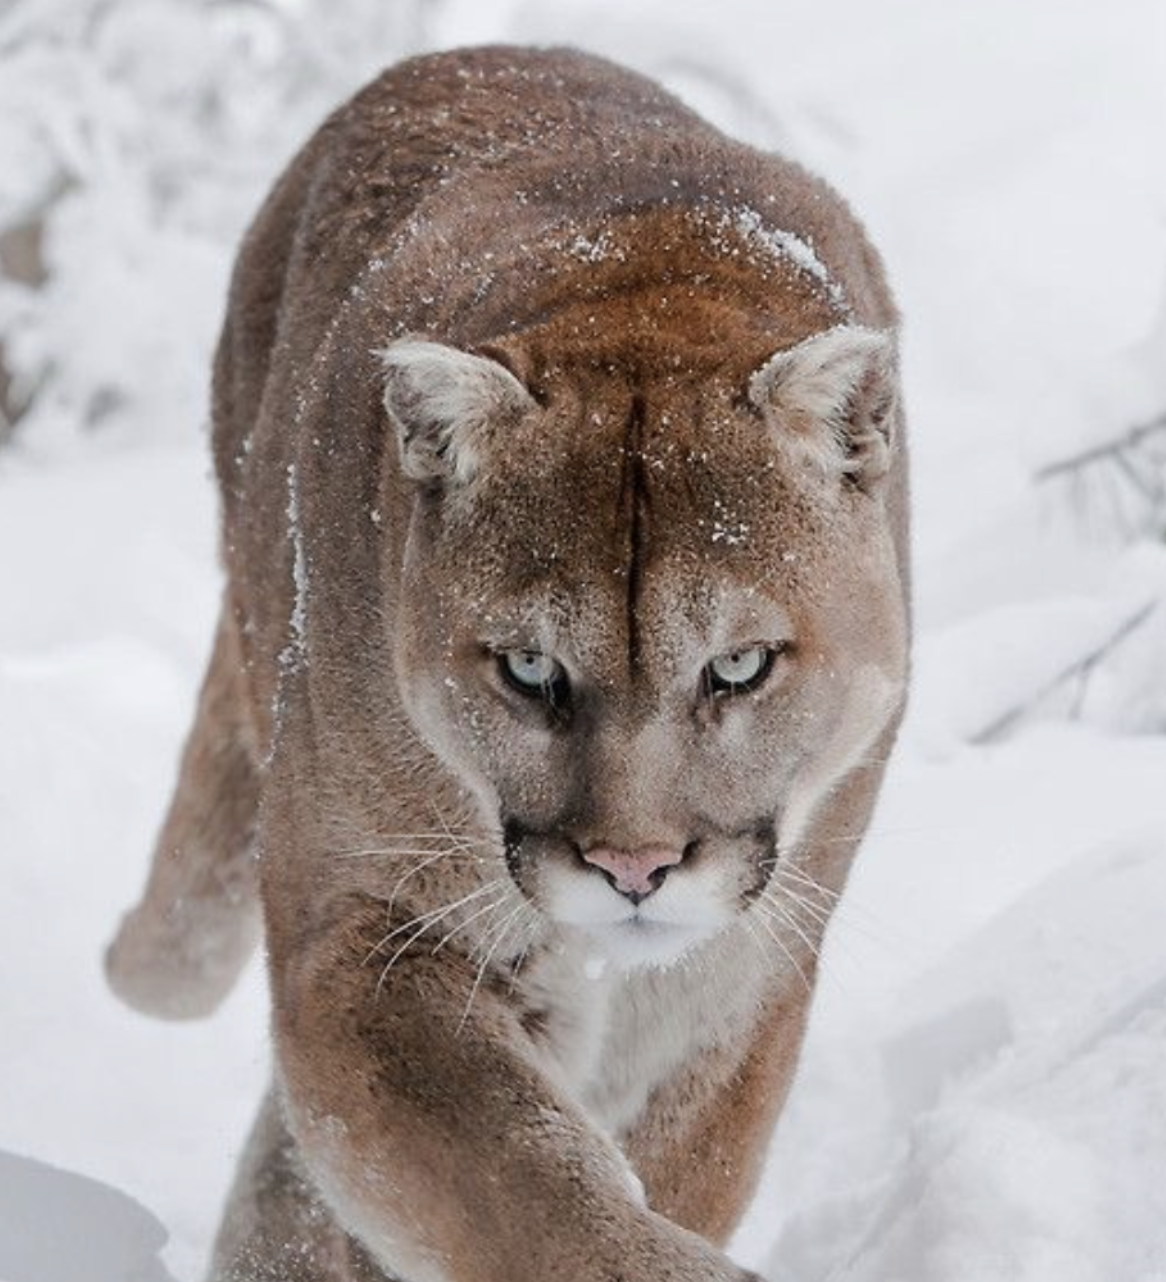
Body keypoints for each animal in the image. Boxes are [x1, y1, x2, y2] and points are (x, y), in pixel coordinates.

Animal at [106, 45, 909, 1282]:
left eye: (737, 666)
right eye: (529, 671)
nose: (632, 867)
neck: (649, 291)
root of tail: (469, 53)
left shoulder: (731, 984)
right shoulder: (370, 928)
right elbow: (518, 1178)